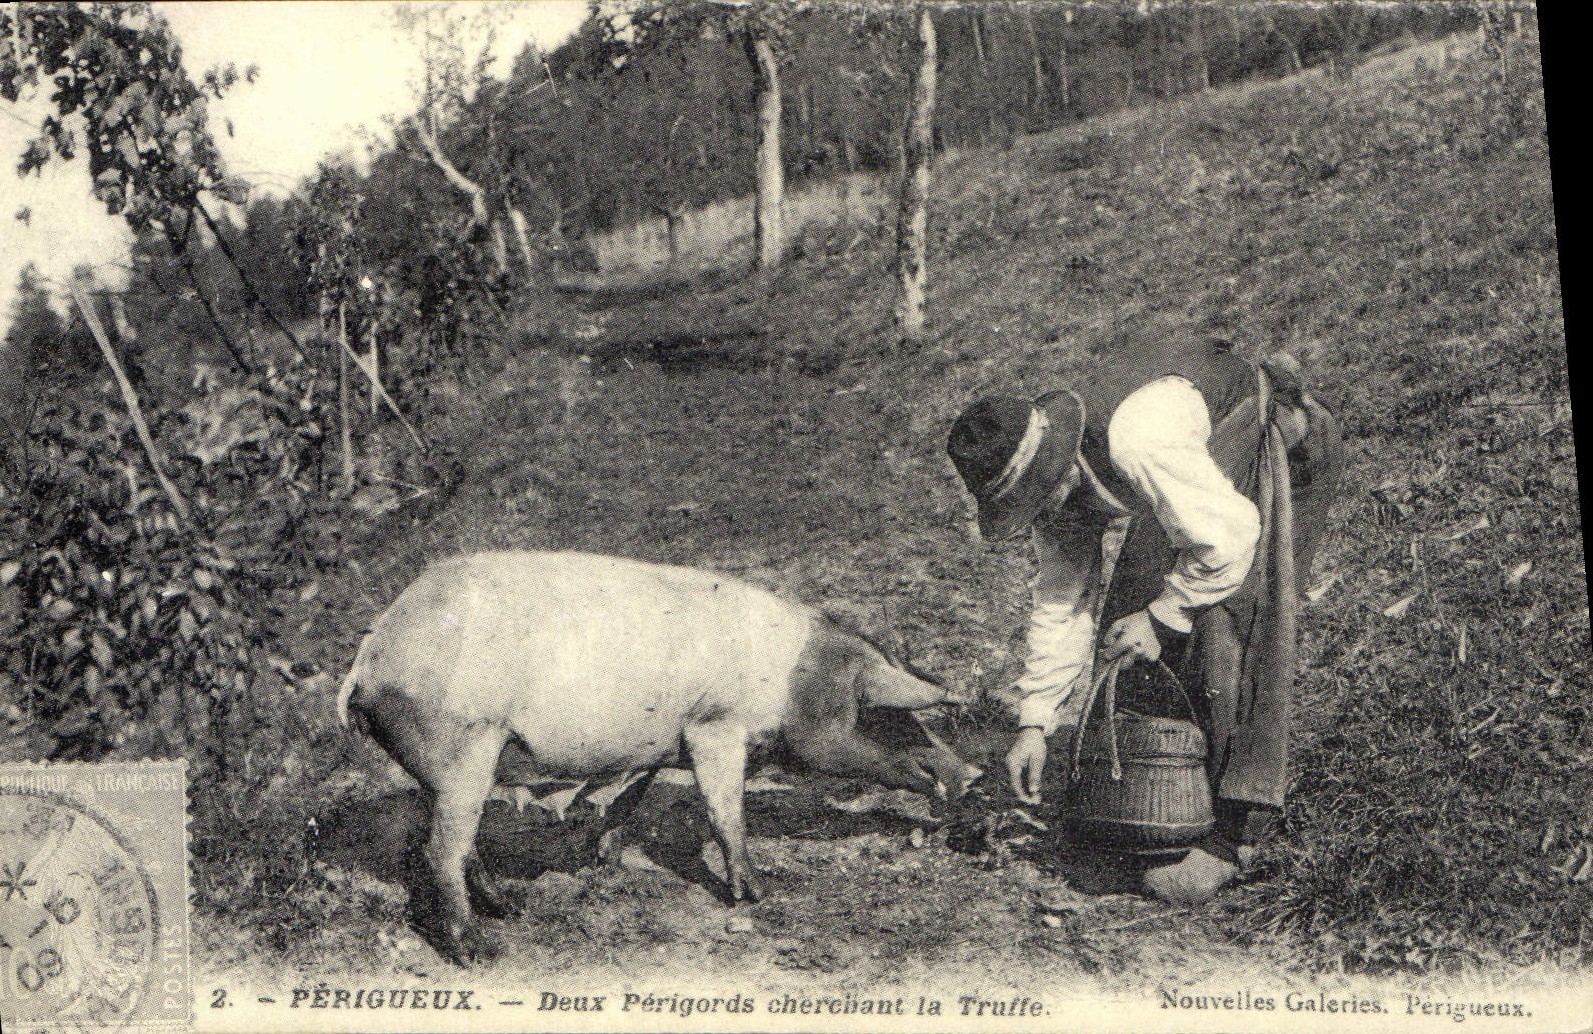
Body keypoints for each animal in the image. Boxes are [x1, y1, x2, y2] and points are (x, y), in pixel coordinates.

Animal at [337, 550, 981, 963]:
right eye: (879, 713)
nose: (972, 774)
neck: (789, 682)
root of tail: (370, 659)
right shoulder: (715, 727)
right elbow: (725, 811)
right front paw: (758, 896)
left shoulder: (660, 744)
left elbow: (630, 797)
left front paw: (607, 858)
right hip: (464, 747)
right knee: (440, 851)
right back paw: (481, 952)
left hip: (448, 768)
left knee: (457, 842)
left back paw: (510, 909)